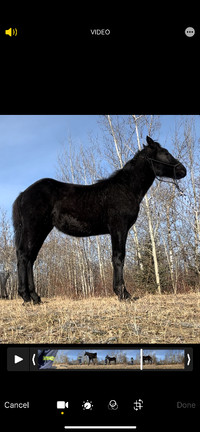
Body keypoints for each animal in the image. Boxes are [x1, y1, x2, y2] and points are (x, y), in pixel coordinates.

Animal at [12, 136, 186, 304]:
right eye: (165, 153)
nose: (182, 170)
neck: (126, 188)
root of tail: (24, 193)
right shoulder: (119, 228)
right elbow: (118, 257)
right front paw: (123, 294)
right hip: (34, 228)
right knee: (24, 256)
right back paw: (25, 296)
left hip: (42, 229)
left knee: (30, 258)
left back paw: (35, 297)